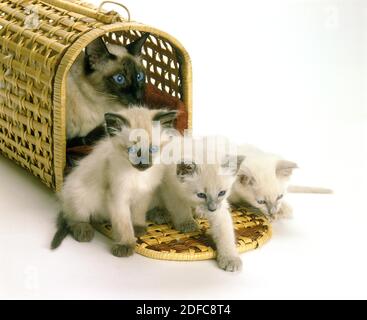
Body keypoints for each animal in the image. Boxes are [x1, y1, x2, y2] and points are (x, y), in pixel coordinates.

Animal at [51, 106, 178, 256]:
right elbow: (123, 224)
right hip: (80, 197)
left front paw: (138, 228)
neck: (138, 176)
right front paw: (126, 245)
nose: (143, 164)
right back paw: (84, 232)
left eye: (152, 149)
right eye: (132, 150)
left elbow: (138, 213)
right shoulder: (118, 197)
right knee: (73, 218)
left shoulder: (144, 194)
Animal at [148, 139, 246, 272]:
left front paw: (230, 258)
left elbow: (225, 233)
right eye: (201, 195)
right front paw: (187, 224)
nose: (212, 209)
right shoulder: (170, 190)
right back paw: (160, 214)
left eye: (221, 193)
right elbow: (180, 209)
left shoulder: (220, 209)